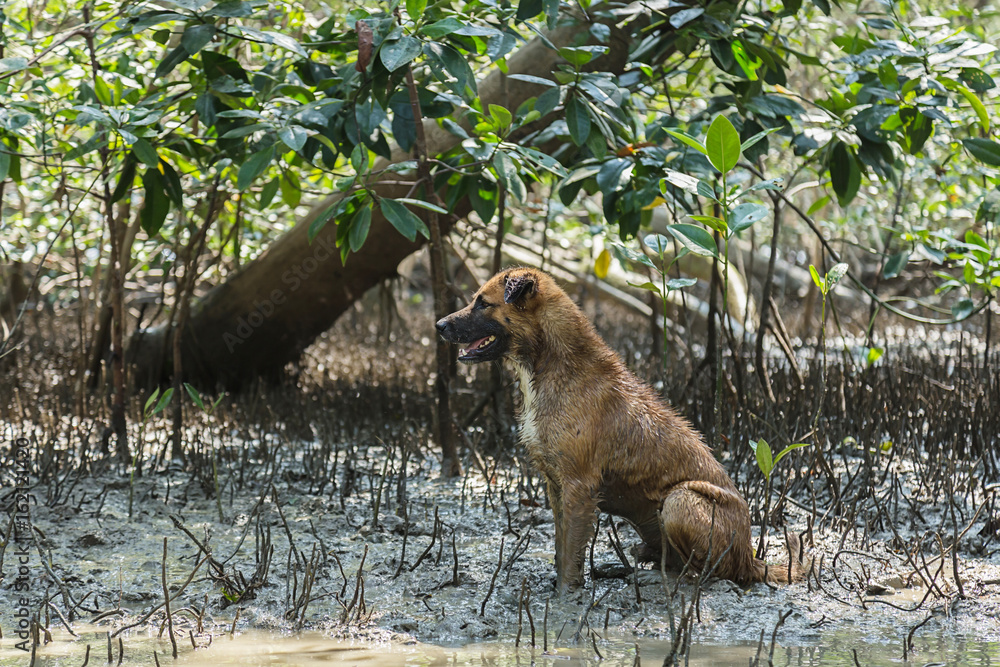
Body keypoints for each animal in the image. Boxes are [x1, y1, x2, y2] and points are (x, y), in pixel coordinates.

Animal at [438, 268, 804, 592]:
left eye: (483, 303)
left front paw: (566, 595)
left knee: (706, 574)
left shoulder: (579, 487)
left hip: (681, 499)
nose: (439, 325)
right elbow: (560, 544)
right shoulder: (555, 485)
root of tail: (751, 559)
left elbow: (571, 551)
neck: (550, 364)